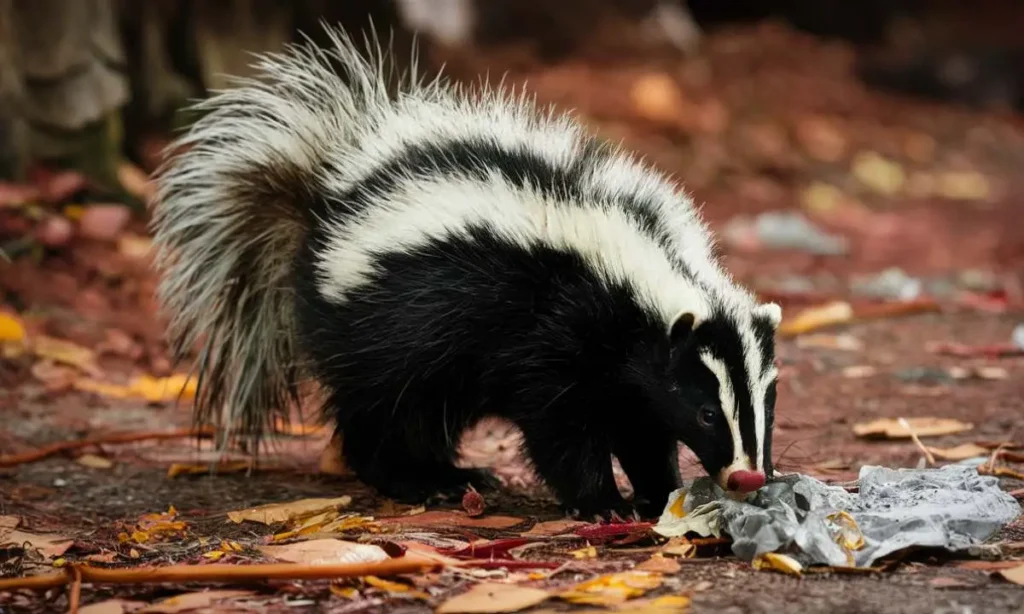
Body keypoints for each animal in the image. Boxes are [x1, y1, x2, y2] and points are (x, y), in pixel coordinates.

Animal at [149, 26, 774, 519]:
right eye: (706, 411)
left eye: (766, 407)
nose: (748, 475)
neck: (637, 273)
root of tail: (327, 204)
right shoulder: (557, 331)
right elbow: (559, 425)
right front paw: (600, 503)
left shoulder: (626, 367)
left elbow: (641, 423)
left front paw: (660, 493)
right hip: (391, 330)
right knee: (386, 413)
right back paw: (424, 482)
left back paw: (457, 474)